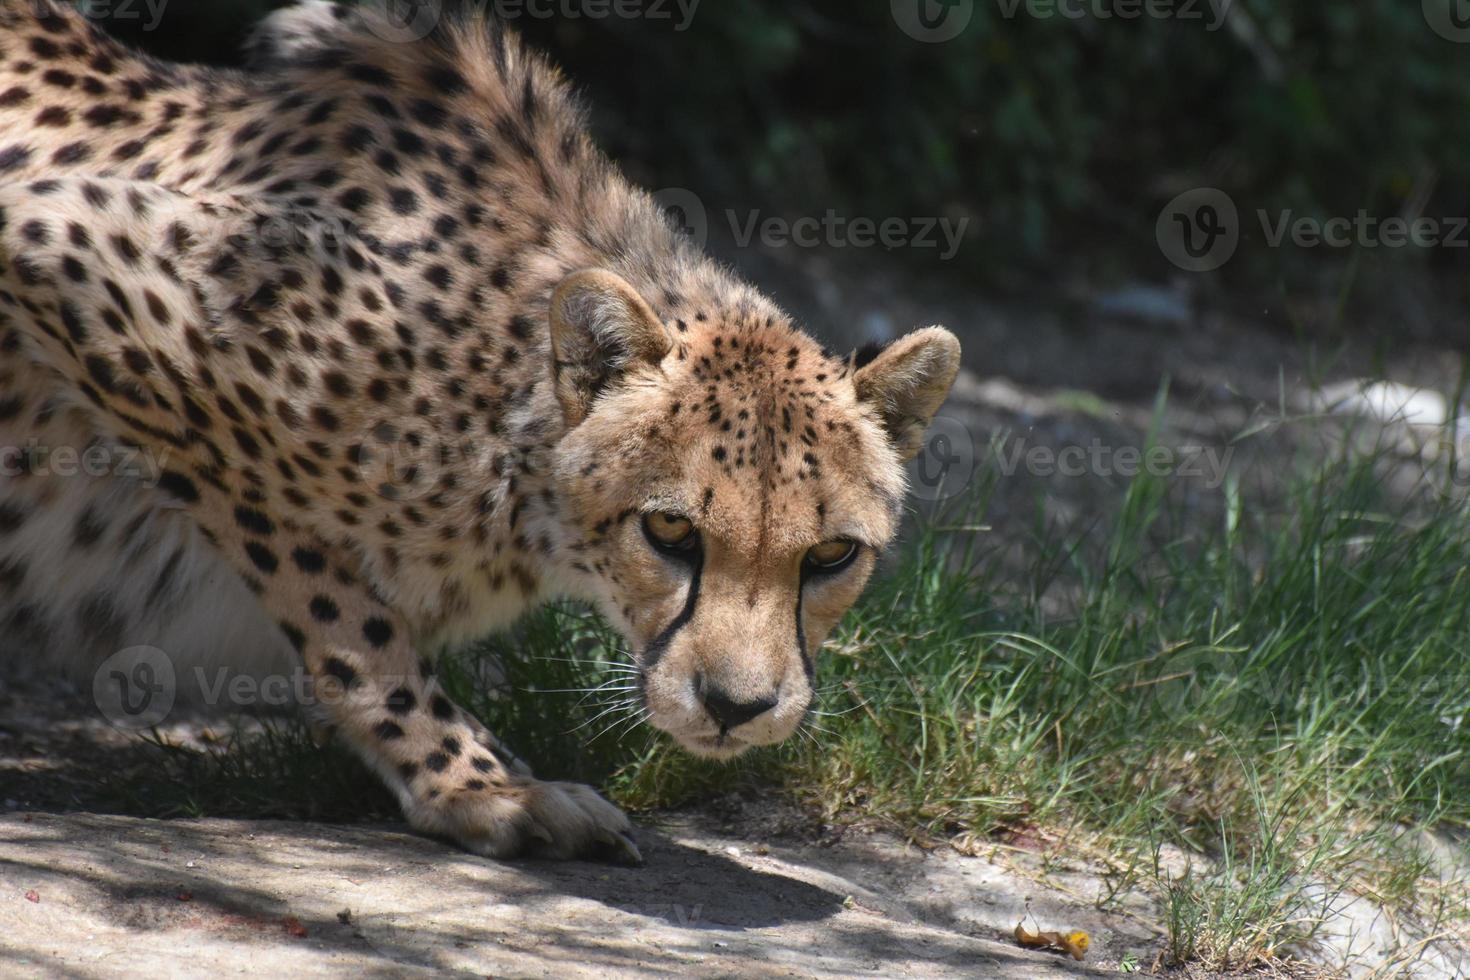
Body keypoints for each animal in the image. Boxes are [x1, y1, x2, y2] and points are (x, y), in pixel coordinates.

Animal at [0, 0, 964, 858]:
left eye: (832, 555)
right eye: (670, 530)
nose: (736, 708)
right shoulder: (61, 241)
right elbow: (343, 610)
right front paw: (476, 784)